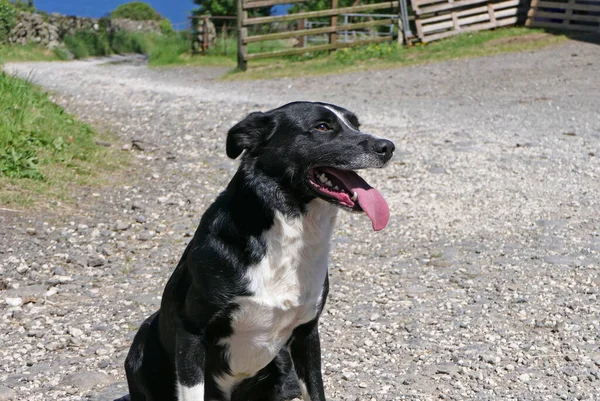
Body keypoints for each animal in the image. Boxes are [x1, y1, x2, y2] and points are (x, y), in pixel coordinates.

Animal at [119, 101, 396, 398]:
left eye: (355, 124)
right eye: (322, 127)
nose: (388, 146)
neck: (289, 233)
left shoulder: (307, 333)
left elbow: (315, 390)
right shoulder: (191, 333)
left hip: (281, 361)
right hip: (144, 338)